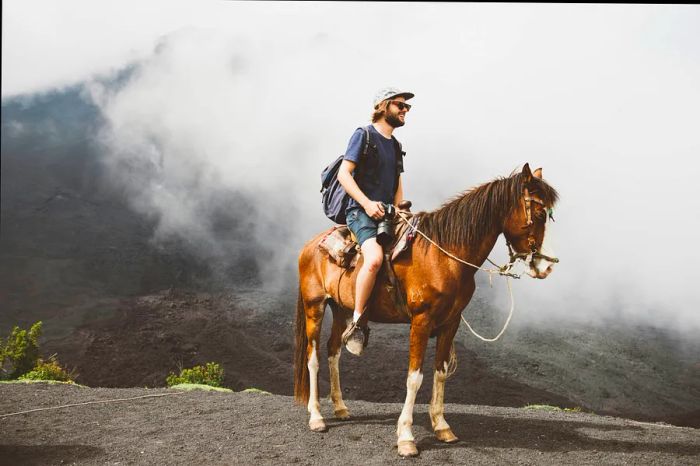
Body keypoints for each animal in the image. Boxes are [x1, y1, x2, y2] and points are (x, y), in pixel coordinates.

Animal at [292, 163, 560, 456]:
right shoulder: (421, 322)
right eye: (538, 214)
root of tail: (309, 245)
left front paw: (442, 427)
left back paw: (340, 407)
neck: (443, 256)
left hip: (341, 309)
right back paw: (316, 416)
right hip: (315, 306)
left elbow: (440, 373)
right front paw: (406, 437)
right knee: (313, 358)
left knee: (333, 352)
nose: (546, 266)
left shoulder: (450, 323)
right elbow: (414, 378)